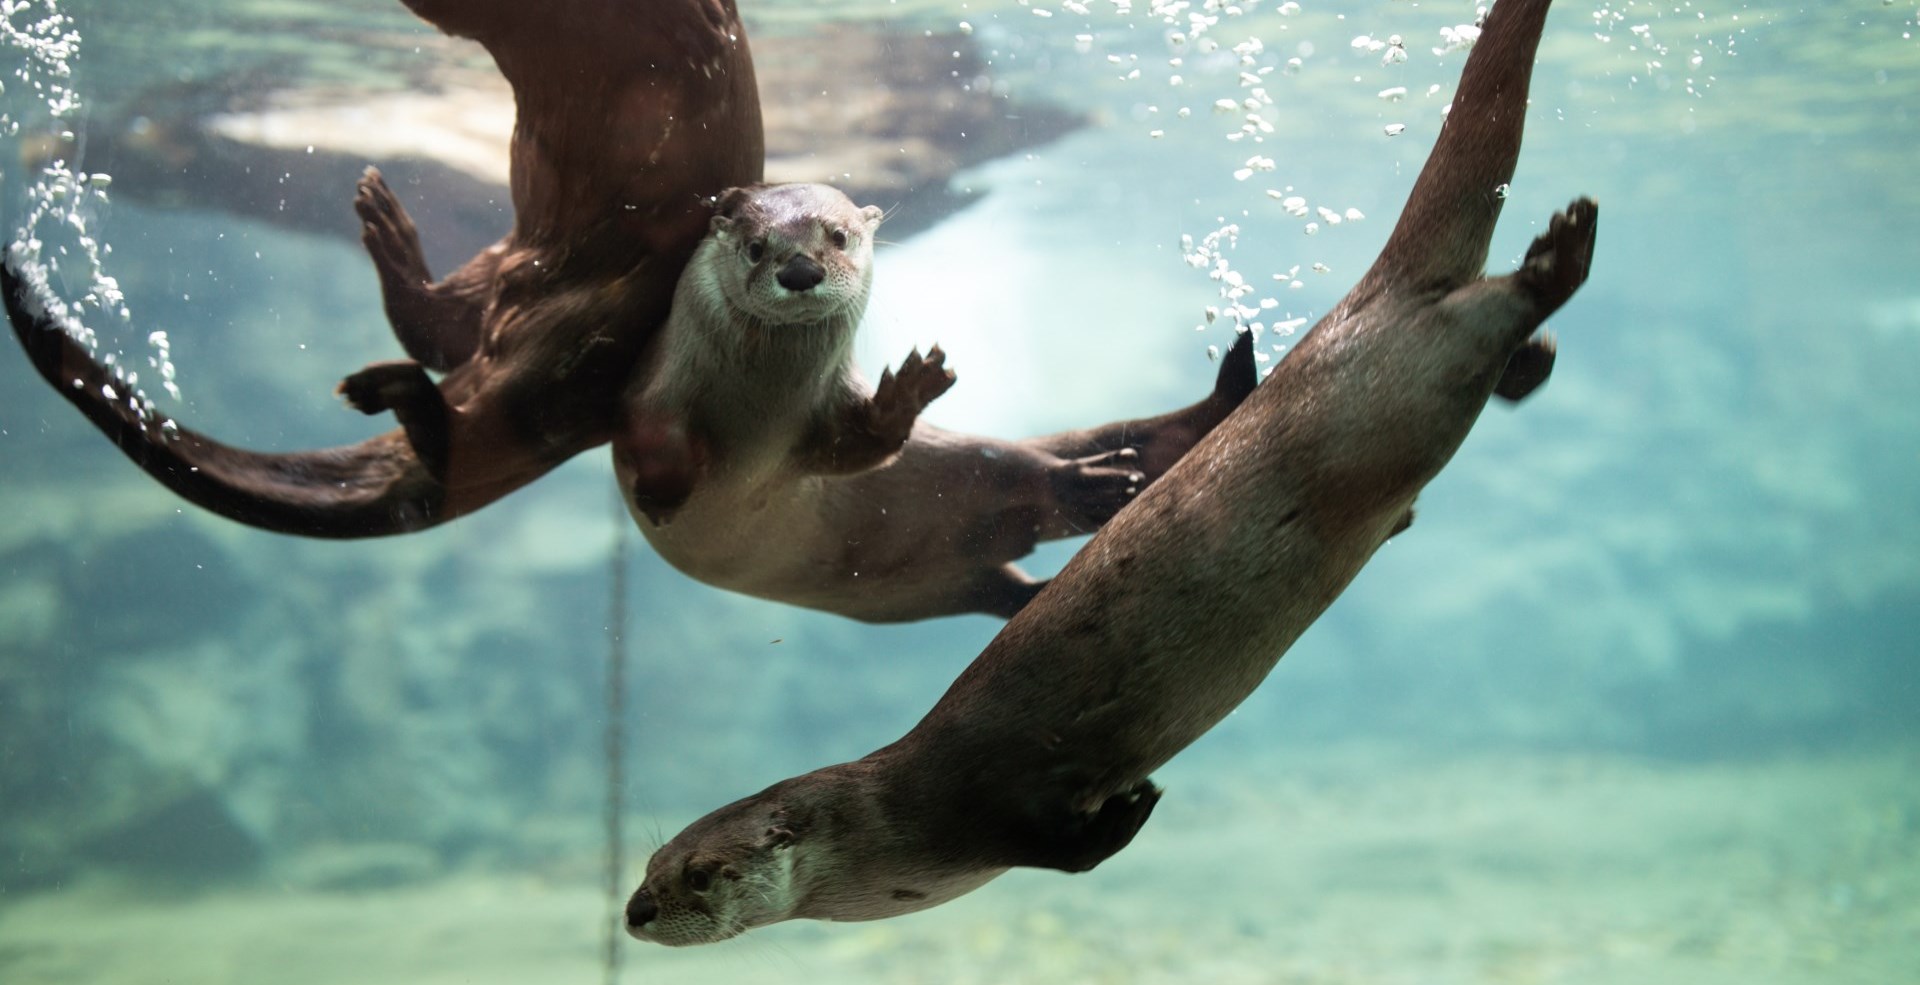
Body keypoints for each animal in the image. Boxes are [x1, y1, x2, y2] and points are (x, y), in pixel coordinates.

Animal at [625, 0, 1589, 940]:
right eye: (652, 859)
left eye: (701, 872)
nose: (637, 910)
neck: (895, 828)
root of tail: (1367, 304)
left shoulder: (999, 805)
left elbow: (1072, 846)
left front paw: (1134, 802)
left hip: (1410, 373)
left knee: (1493, 307)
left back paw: (1559, 254)